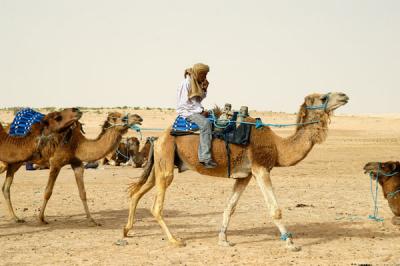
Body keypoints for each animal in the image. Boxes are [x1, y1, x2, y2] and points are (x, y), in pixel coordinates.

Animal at [0, 110, 142, 224]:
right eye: (122, 118)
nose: (139, 117)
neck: (78, 144)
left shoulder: (77, 164)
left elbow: (83, 193)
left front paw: (92, 220)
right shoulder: (55, 162)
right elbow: (48, 192)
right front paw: (41, 218)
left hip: (14, 163)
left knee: (6, 187)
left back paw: (16, 218)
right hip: (9, 162)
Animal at [123, 92, 348, 251]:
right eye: (323, 97)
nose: (344, 95)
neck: (278, 147)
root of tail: (158, 137)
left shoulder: (245, 175)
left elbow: (229, 207)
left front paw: (223, 240)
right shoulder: (260, 168)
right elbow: (275, 209)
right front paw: (290, 243)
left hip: (161, 161)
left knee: (137, 192)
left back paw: (126, 231)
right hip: (166, 159)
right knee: (156, 206)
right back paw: (175, 240)